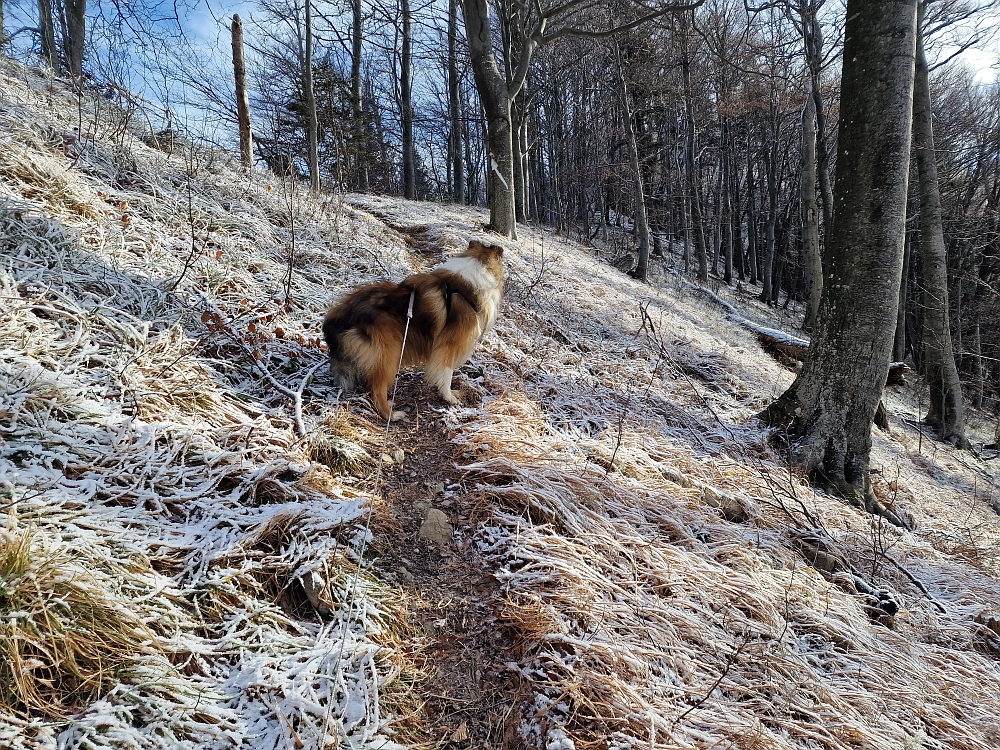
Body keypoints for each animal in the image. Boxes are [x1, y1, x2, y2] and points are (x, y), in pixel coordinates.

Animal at [322, 239, 504, 420]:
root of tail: (339, 317)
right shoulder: (448, 346)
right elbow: (447, 373)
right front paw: (449, 397)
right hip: (389, 353)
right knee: (376, 389)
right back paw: (392, 414)